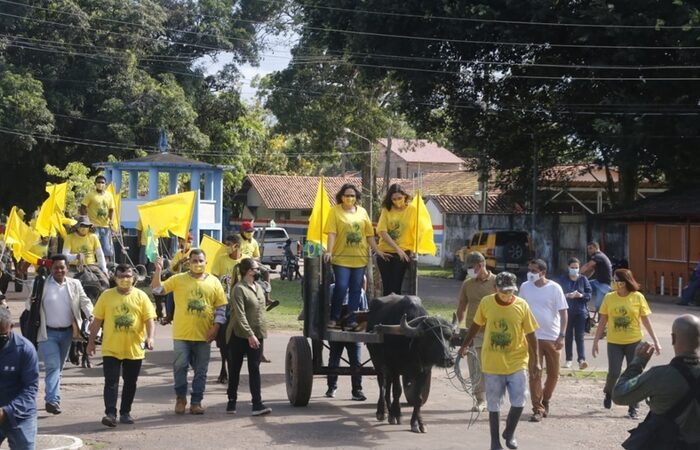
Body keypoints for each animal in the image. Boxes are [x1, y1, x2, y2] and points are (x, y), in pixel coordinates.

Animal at [366, 294, 460, 434]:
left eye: (449, 336)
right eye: (430, 338)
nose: (448, 360)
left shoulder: (424, 370)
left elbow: (419, 398)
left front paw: (418, 423)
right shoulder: (395, 367)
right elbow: (397, 391)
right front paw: (397, 415)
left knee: (387, 386)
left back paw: (389, 410)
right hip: (377, 361)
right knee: (382, 384)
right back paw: (382, 412)